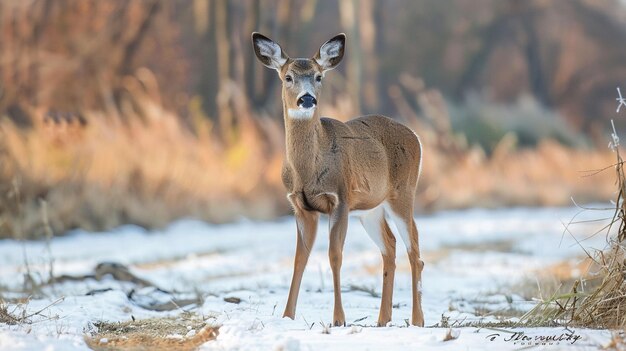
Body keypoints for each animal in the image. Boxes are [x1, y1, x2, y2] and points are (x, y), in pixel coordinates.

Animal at [252, 32, 424, 328]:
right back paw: (383, 319)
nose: (307, 99)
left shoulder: (340, 198)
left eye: (319, 76)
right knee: (390, 246)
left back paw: (417, 320)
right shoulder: (300, 206)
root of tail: (416, 136)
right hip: (370, 209)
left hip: (403, 192)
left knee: (414, 248)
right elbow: (299, 259)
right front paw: (287, 316)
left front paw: (338, 319)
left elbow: (335, 255)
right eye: (288, 77)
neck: (308, 169)